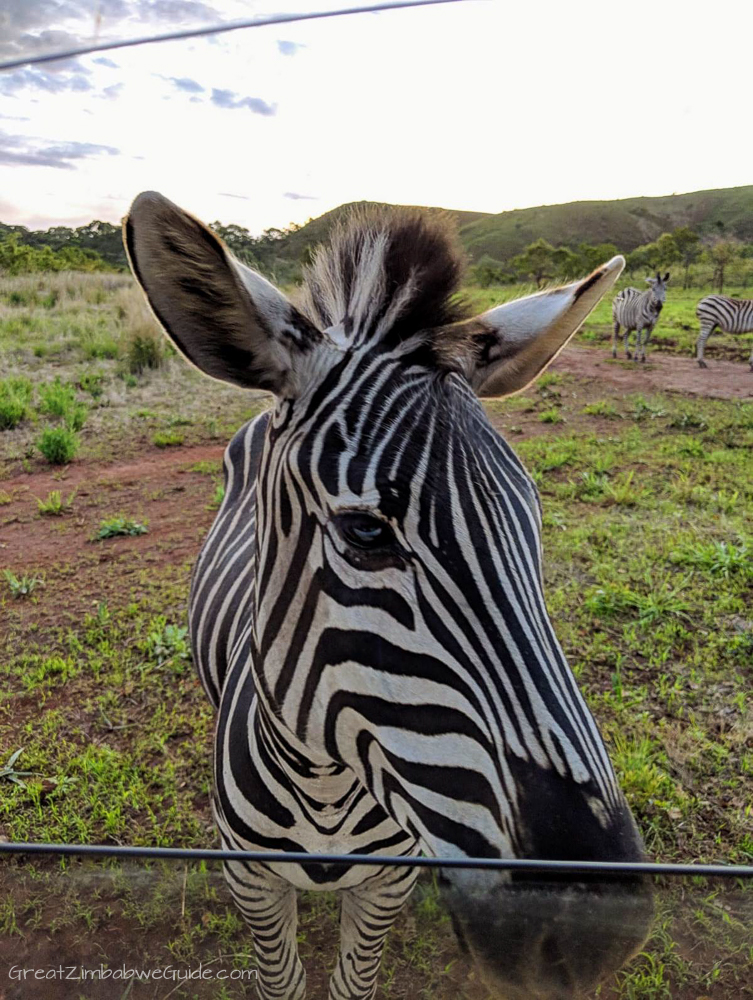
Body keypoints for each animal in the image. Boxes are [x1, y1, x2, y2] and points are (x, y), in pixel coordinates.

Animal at [125, 195, 652, 1000]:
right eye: (365, 531)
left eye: (533, 522)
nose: (597, 931)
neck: (329, 789)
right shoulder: (252, 882)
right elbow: (281, 981)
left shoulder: (388, 881)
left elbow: (353, 982)